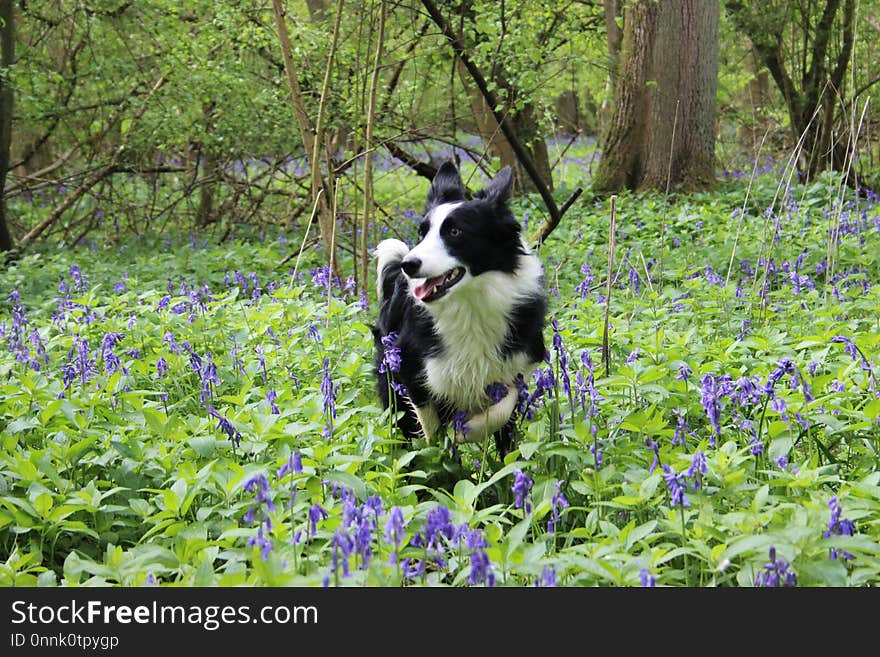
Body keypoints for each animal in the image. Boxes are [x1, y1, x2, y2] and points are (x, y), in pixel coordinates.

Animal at [372, 160, 552, 456]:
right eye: (422, 233)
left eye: (455, 232)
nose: (409, 264)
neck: (469, 305)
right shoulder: (412, 369)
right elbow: (429, 429)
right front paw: (441, 451)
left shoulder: (521, 361)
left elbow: (503, 408)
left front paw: (468, 429)